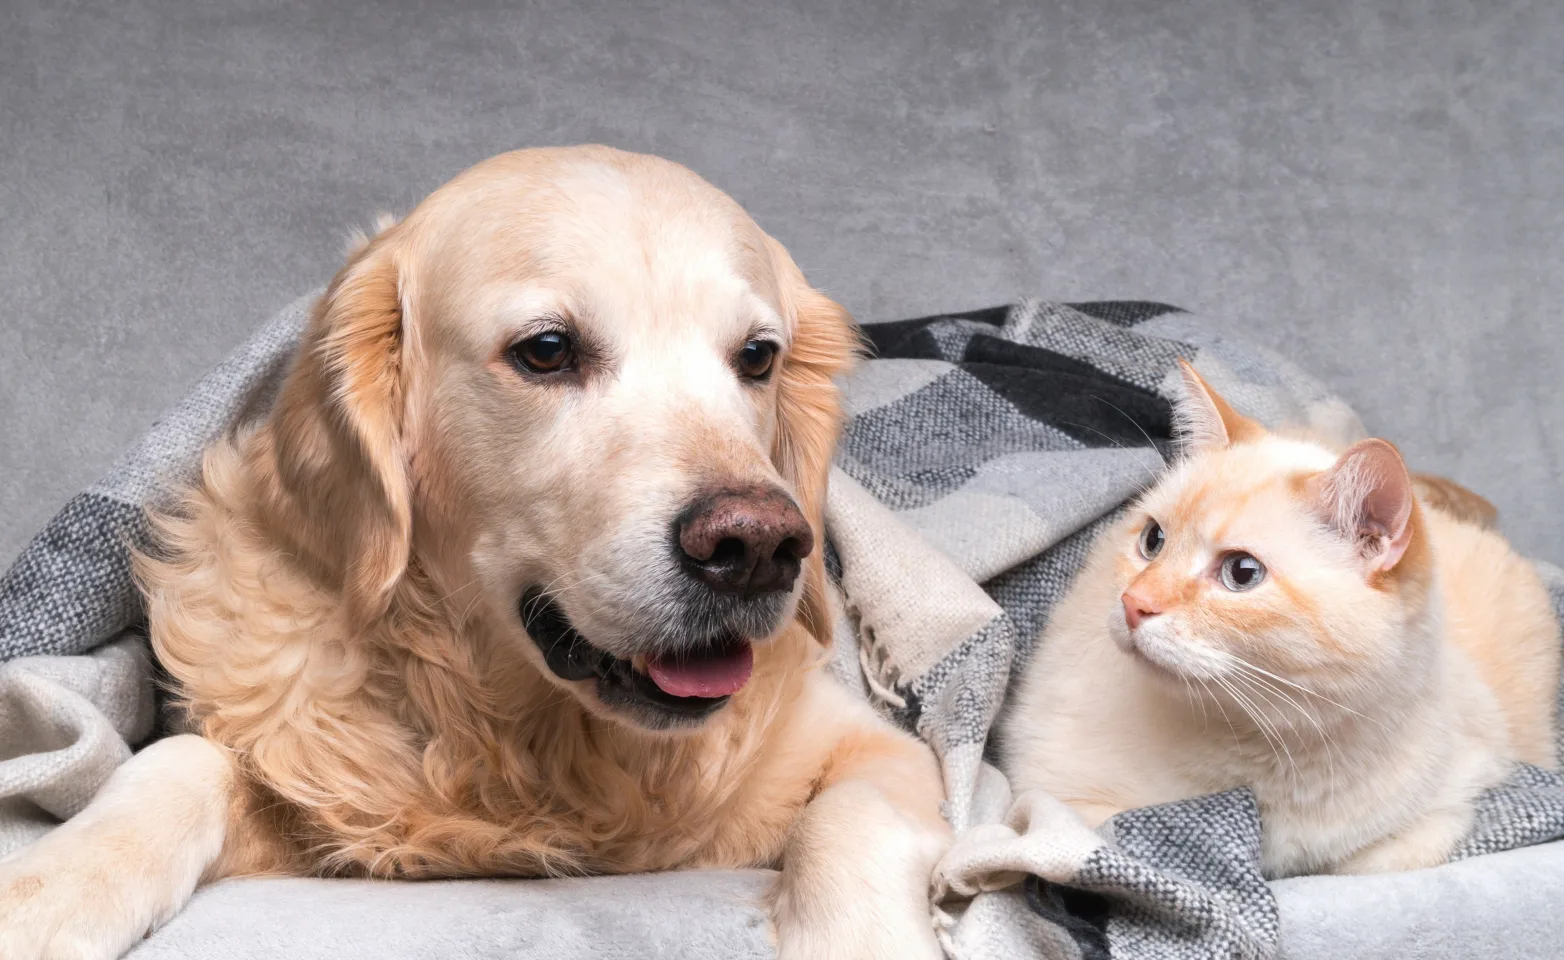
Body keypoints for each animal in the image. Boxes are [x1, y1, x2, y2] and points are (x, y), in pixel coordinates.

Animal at [0, 146, 950, 960]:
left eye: (757, 357)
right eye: (547, 350)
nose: (757, 545)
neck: (520, 734)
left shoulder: (872, 748)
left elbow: (853, 818)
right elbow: (179, 761)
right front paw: (51, 890)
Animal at [1007, 361, 1557, 881]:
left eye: (1240, 572)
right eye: (1153, 541)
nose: (1132, 603)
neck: (1266, 747)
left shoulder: (1452, 799)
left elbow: (1371, 859)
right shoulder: (1049, 798)